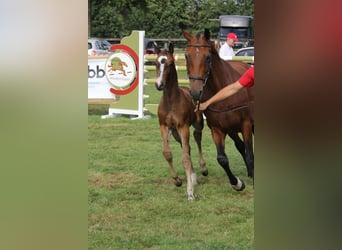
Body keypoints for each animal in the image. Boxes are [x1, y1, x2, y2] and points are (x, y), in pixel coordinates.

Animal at [154, 42, 207, 199]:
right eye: (156, 63)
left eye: (170, 63)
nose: (159, 84)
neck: (171, 101)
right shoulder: (164, 126)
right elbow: (167, 153)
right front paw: (177, 180)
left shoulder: (183, 127)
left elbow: (185, 159)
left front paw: (190, 192)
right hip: (176, 133)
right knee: (187, 148)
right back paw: (193, 176)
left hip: (197, 124)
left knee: (197, 138)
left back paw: (203, 168)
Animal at [182, 28, 254, 190]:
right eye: (186, 56)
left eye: (208, 57)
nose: (195, 92)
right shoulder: (217, 129)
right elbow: (222, 158)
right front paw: (237, 183)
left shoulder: (246, 125)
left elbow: (250, 154)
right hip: (231, 129)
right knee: (240, 146)